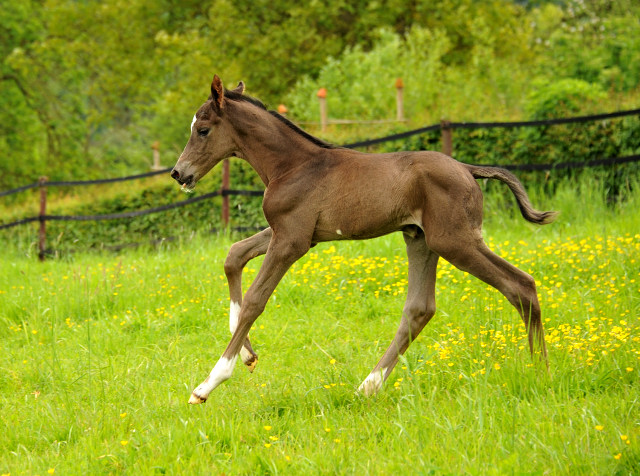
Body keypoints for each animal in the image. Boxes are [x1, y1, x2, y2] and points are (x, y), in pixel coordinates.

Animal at [170, 76, 556, 404]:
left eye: (202, 130)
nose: (178, 173)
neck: (292, 165)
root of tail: (466, 168)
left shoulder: (291, 240)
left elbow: (255, 299)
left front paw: (209, 383)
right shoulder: (293, 233)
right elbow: (234, 255)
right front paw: (248, 353)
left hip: (455, 241)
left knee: (520, 285)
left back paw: (540, 373)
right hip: (421, 239)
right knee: (420, 309)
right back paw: (368, 386)